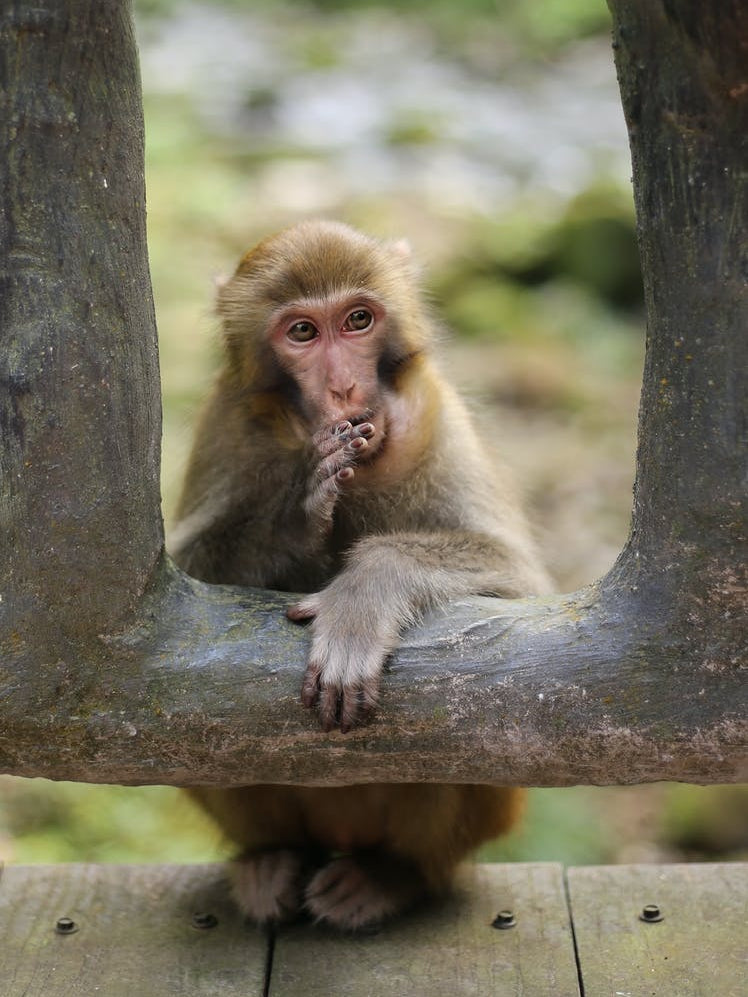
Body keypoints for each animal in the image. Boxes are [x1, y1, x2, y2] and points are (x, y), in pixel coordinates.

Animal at [170, 220, 551, 931]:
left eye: (357, 320)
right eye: (302, 332)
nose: (344, 390)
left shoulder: (437, 413)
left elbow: (522, 587)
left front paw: (362, 600)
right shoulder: (228, 424)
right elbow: (179, 586)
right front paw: (299, 516)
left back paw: (392, 876)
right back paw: (271, 860)